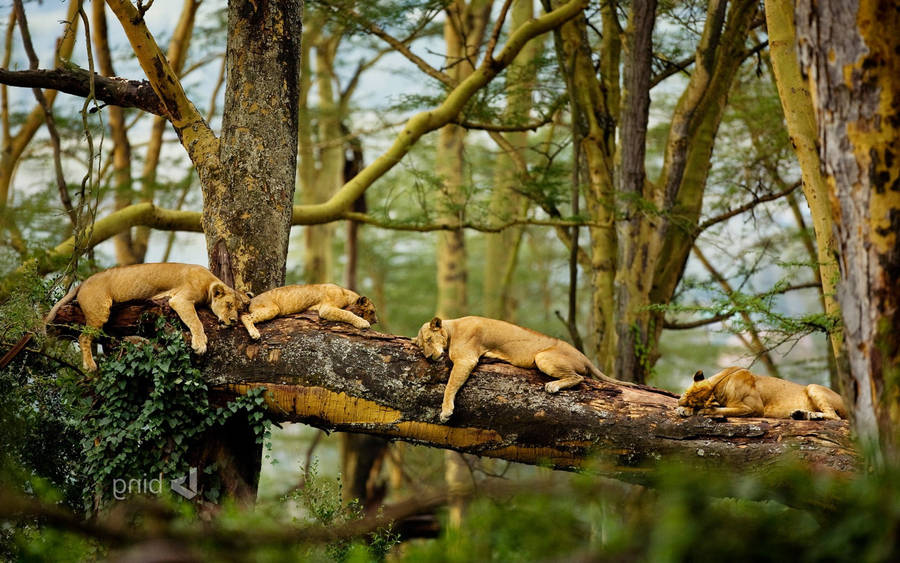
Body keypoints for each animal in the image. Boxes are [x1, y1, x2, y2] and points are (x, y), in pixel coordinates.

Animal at [45, 263, 249, 372]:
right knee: (84, 337)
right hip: (99, 310)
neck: (209, 283)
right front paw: (200, 344)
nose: (233, 321)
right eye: (229, 305)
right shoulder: (180, 300)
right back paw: (90, 365)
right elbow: (196, 322)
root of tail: (83, 282)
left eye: (239, 310)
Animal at [240, 283, 377, 339]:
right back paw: (254, 333)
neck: (347, 294)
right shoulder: (326, 308)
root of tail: (251, 300)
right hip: (272, 308)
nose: (376, 321)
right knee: (244, 317)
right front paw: (363, 323)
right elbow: (347, 313)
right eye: (372, 311)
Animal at [415, 316, 633, 423]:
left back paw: (553, 386)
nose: (429, 356)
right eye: (421, 346)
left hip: (543, 357)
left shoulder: (465, 359)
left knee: (578, 377)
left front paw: (445, 411)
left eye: (429, 339)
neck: (451, 328)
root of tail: (584, 356)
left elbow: (450, 386)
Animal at [676, 366, 847, 420]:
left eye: (694, 403)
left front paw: (702, 410)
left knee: (835, 417)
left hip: (813, 387)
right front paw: (683, 409)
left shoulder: (754, 408)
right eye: (684, 394)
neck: (718, 385)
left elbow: (723, 410)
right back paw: (802, 414)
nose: (679, 402)